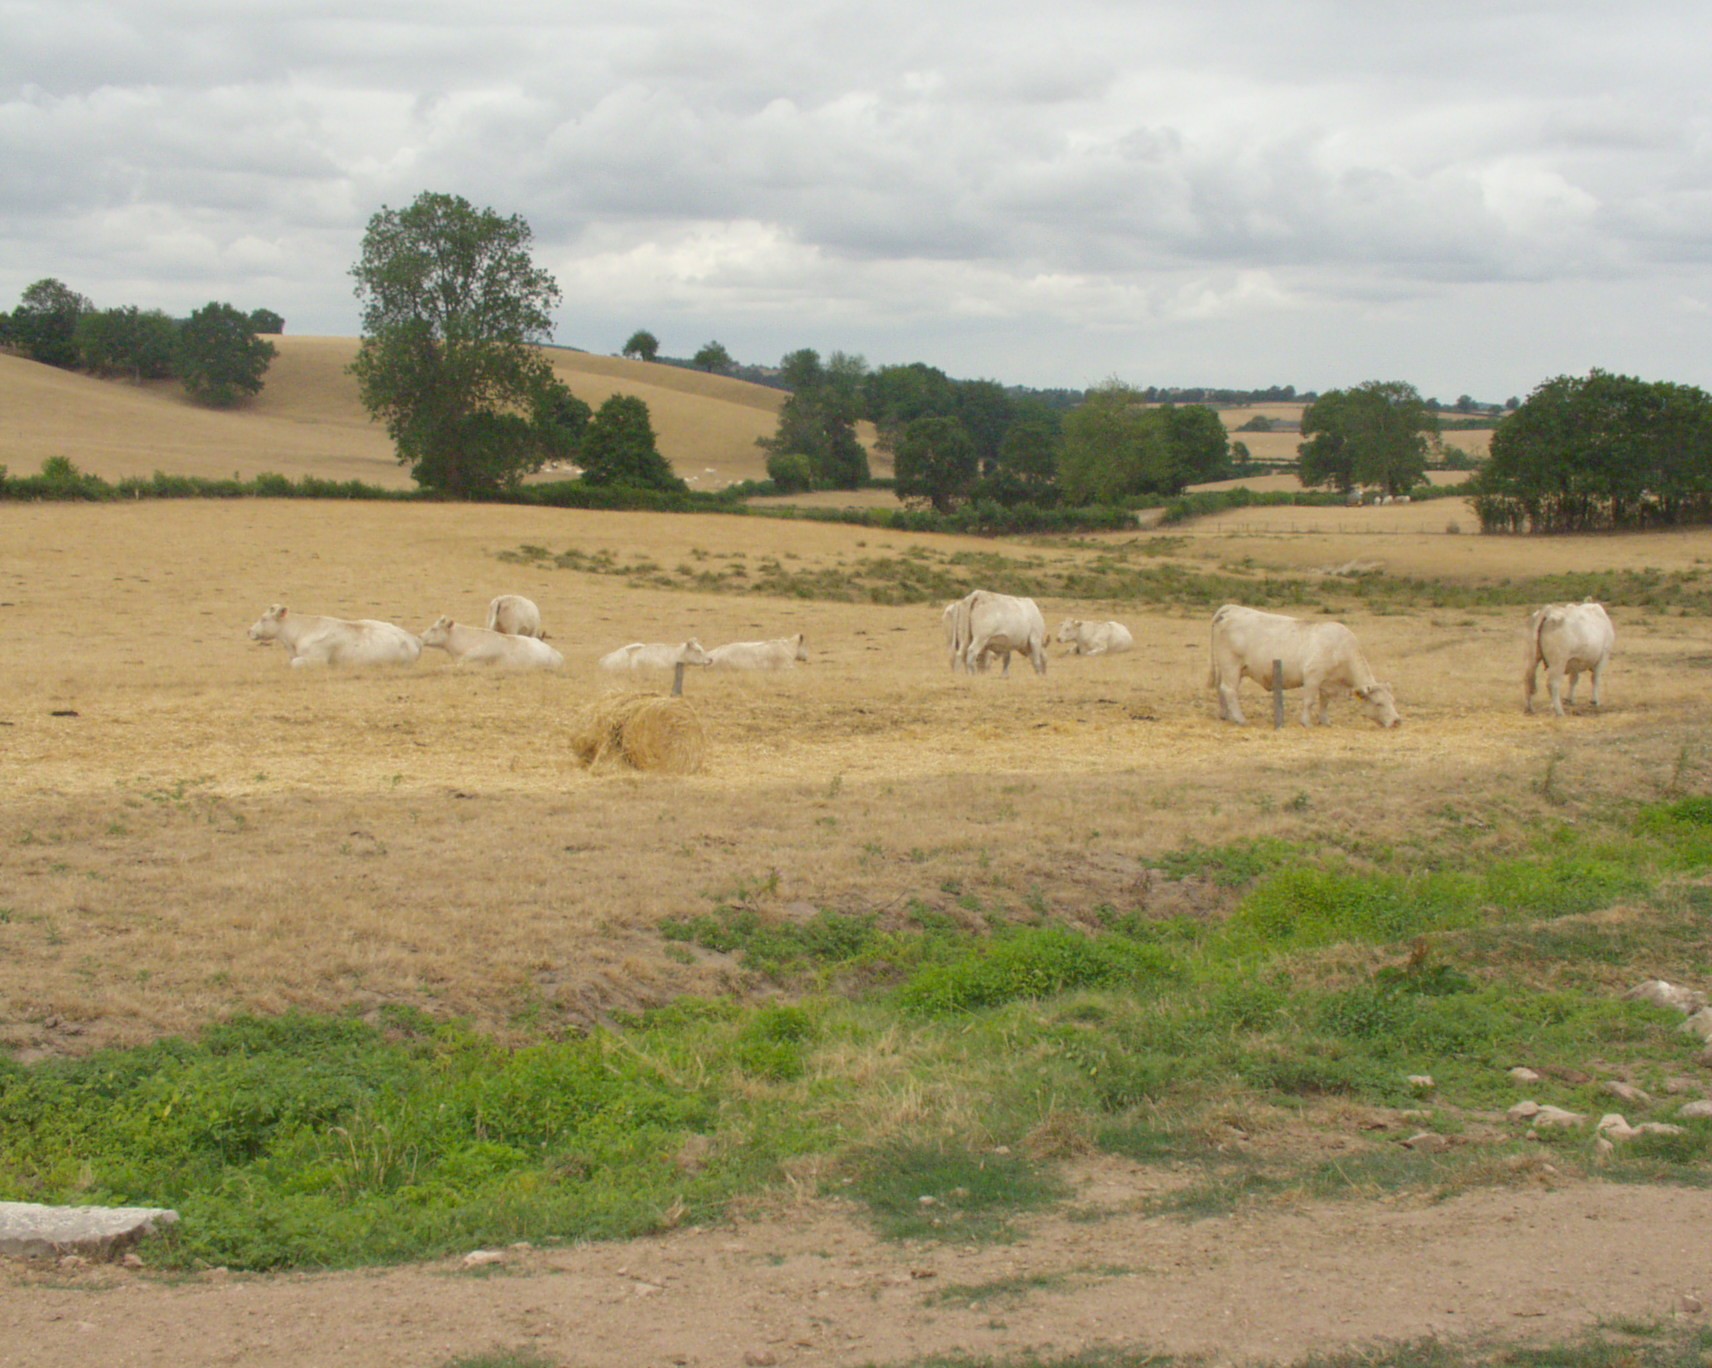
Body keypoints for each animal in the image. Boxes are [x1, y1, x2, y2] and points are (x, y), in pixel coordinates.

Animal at [1212, 602, 1396, 725]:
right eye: (1379, 703)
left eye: (1392, 700)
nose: (1397, 721)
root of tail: (1232, 608)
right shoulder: (1313, 677)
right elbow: (1309, 701)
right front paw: (1306, 722)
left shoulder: (1327, 683)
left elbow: (1324, 702)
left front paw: (1325, 721)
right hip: (1231, 665)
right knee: (1229, 690)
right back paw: (1240, 719)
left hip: (1229, 668)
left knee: (1222, 689)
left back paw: (1225, 715)